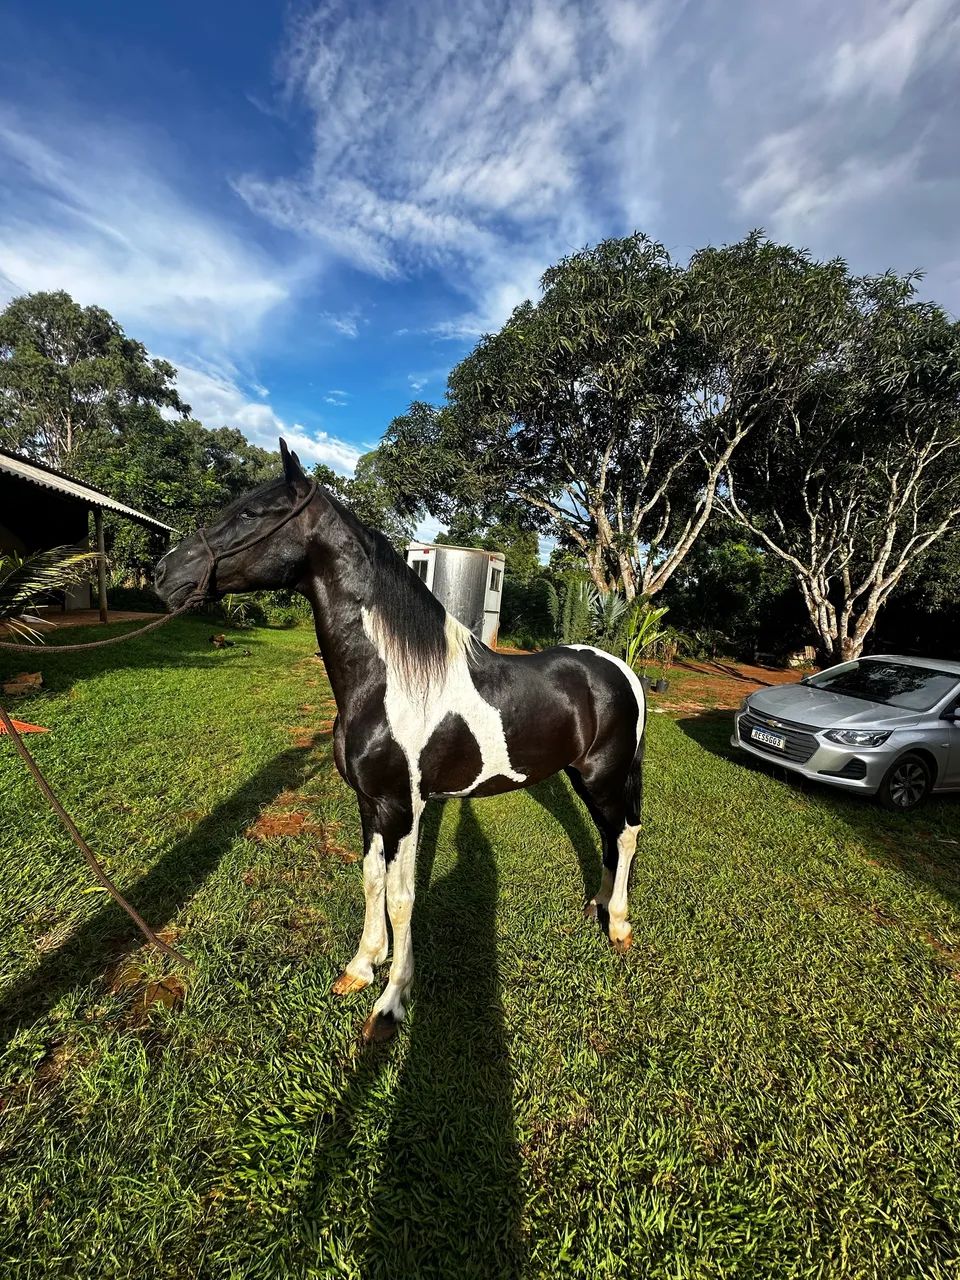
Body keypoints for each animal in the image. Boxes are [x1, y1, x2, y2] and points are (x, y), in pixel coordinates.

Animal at [155, 439, 646, 1042]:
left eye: (250, 513)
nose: (164, 573)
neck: (389, 679)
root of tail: (619, 669)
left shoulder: (406, 807)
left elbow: (403, 897)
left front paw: (391, 1002)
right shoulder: (370, 803)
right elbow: (371, 880)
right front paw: (363, 966)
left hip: (605, 776)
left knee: (626, 834)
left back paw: (618, 925)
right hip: (583, 779)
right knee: (607, 835)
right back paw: (596, 906)